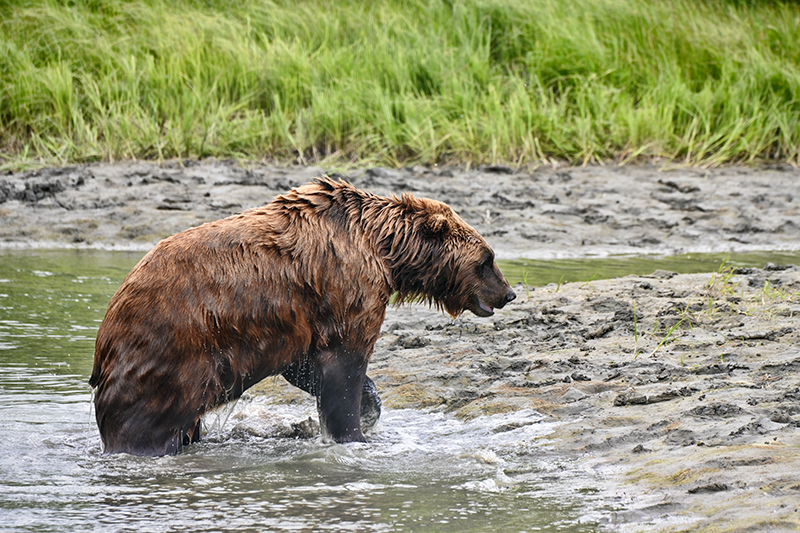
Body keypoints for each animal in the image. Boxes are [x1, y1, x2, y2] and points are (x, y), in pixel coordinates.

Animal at [87, 177, 512, 456]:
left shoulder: (300, 320)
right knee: (145, 422)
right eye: (486, 259)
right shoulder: (345, 287)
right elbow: (344, 365)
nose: (508, 292)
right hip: (168, 358)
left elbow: (308, 366)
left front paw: (368, 409)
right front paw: (353, 434)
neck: (384, 250)